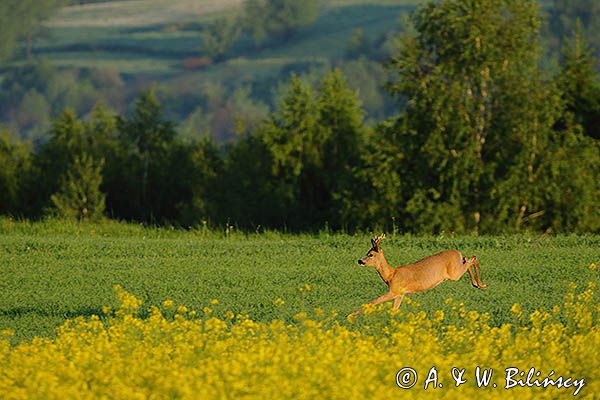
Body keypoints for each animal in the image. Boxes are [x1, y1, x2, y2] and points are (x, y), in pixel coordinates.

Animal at [350, 234, 486, 316]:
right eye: (367, 252)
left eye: (371, 254)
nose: (360, 261)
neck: (390, 275)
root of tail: (458, 252)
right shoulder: (400, 294)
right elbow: (393, 311)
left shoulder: (394, 290)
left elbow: (373, 302)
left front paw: (350, 315)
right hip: (457, 268)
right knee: (468, 257)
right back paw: (477, 284)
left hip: (454, 273)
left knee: (473, 257)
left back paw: (481, 284)